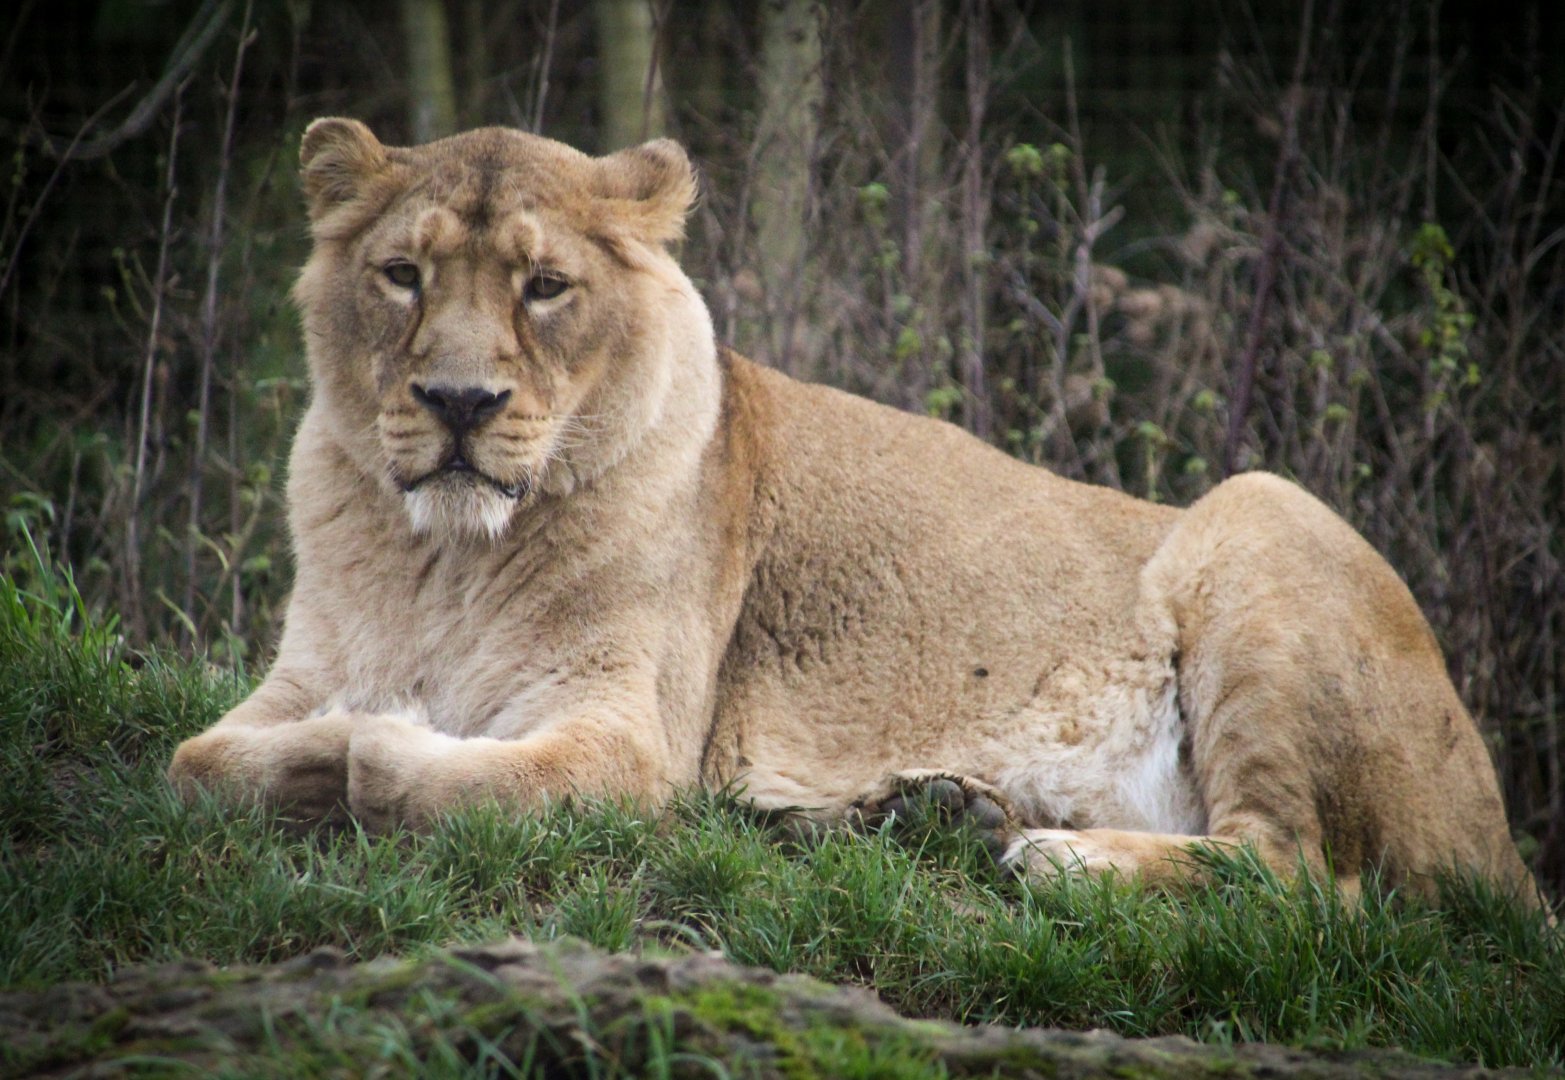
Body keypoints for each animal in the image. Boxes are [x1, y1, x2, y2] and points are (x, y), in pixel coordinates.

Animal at [168, 118, 1543, 909]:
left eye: (545, 287)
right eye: (402, 275)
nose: (457, 400)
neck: (444, 558)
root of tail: (1510, 854)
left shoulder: (630, 740)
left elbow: (407, 769)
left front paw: (374, 746)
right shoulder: (296, 676)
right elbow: (197, 762)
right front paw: (313, 755)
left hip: (1261, 515)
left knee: (1315, 879)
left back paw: (1064, 860)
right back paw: (925, 809)